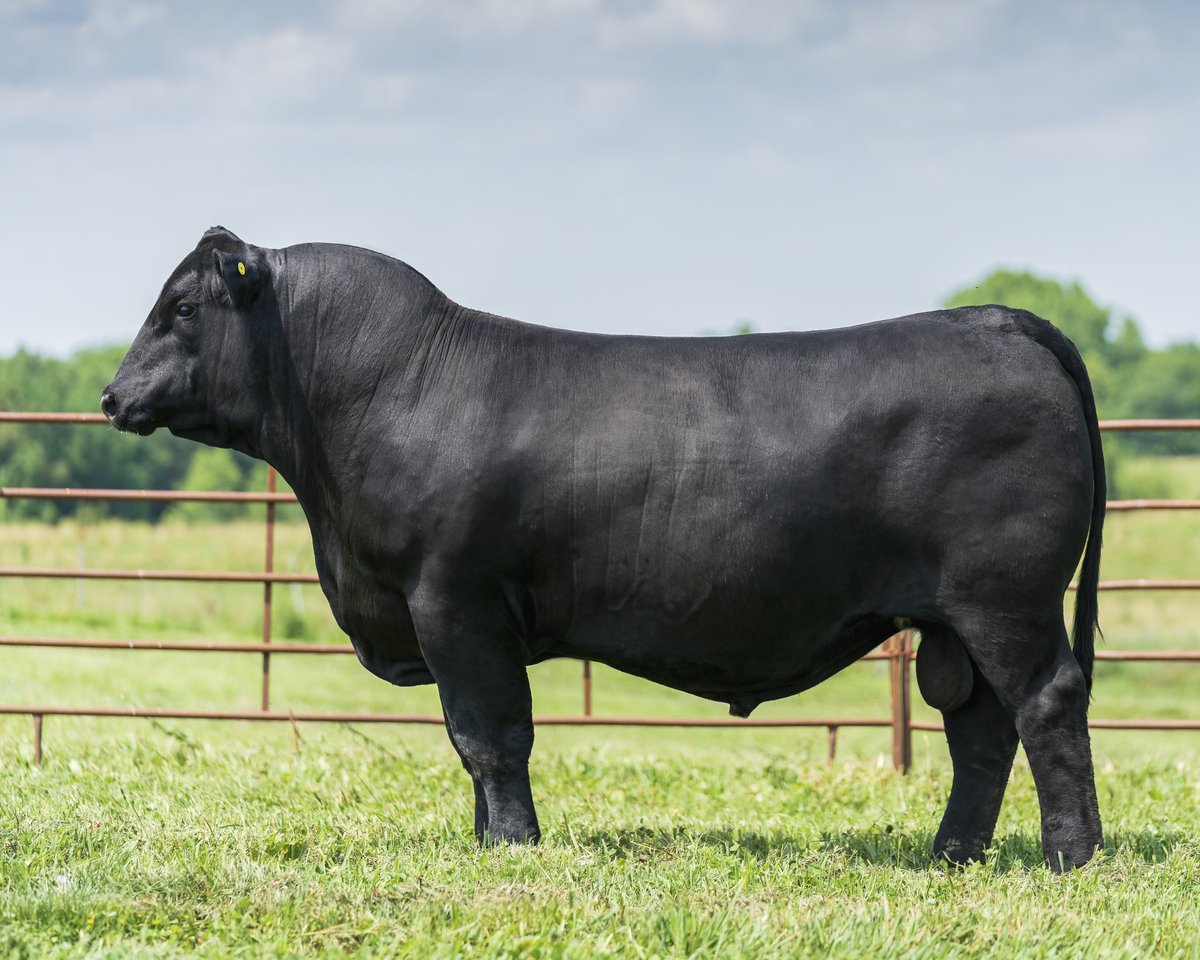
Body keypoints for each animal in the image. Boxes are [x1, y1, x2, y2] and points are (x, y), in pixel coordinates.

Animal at [103, 227, 1105, 870]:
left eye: (182, 306)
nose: (112, 396)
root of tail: (994, 319)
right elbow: (472, 741)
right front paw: (488, 841)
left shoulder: (455, 601)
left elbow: (491, 734)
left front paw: (512, 846)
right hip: (956, 623)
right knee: (980, 730)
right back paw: (952, 855)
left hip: (1006, 600)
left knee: (1046, 704)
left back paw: (1071, 856)